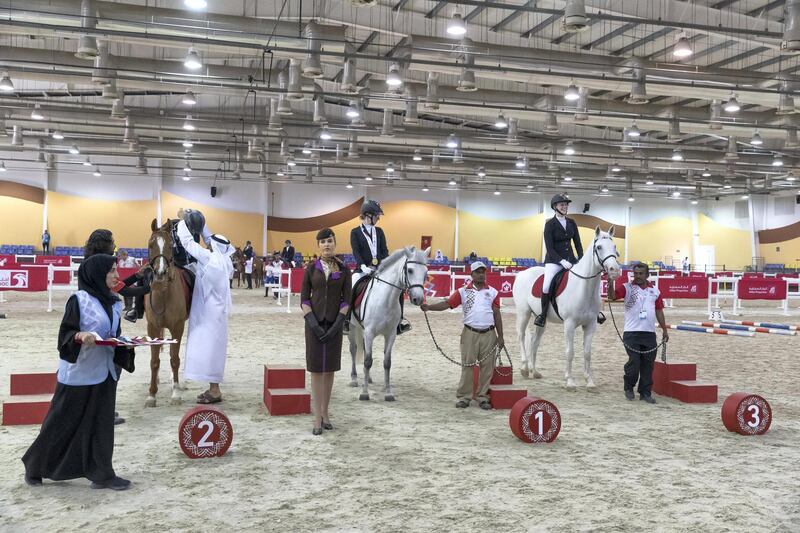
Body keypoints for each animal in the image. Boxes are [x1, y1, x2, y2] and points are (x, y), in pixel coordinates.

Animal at [346, 245, 428, 400]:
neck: (385, 300)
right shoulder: (370, 332)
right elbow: (367, 361)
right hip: (353, 328)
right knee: (353, 350)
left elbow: (387, 362)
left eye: (426, 273)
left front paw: (388, 393)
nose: (418, 299)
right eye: (410, 270)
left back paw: (368, 378)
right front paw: (364, 393)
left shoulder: (390, 334)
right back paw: (353, 379)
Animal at [516, 227, 620, 388]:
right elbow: (570, 352)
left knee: (534, 342)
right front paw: (570, 381)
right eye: (599, 247)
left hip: (540, 320)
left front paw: (589, 381)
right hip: (524, 313)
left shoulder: (590, 325)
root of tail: (522, 273)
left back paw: (535, 371)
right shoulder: (569, 324)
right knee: (521, 336)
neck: (584, 288)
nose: (614, 270)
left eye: (614, 246)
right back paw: (524, 369)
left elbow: (587, 353)